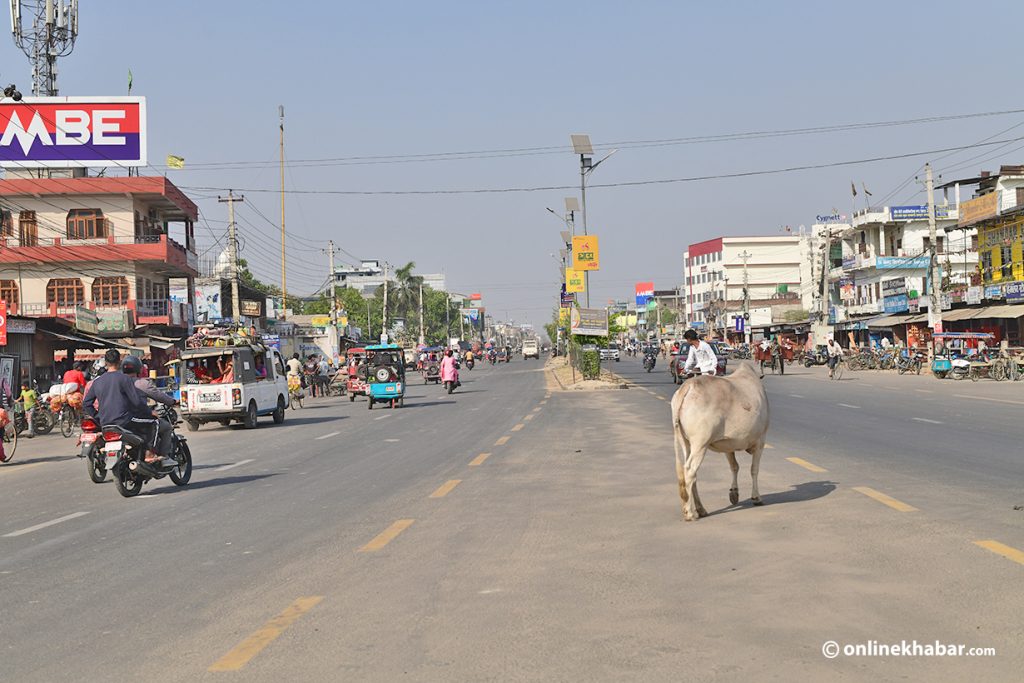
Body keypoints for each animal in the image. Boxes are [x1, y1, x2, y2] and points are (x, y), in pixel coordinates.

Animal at [671, 362, 770, 524]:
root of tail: (688, 386)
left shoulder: (728, 445)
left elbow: (734, 467)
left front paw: (734, 494)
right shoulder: (760, 441)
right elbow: (754, 469)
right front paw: (756, 497)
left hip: (685, 442)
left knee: (690, 473)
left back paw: (701, 509)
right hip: (700, 443)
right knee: (690, 470)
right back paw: (690, 513)